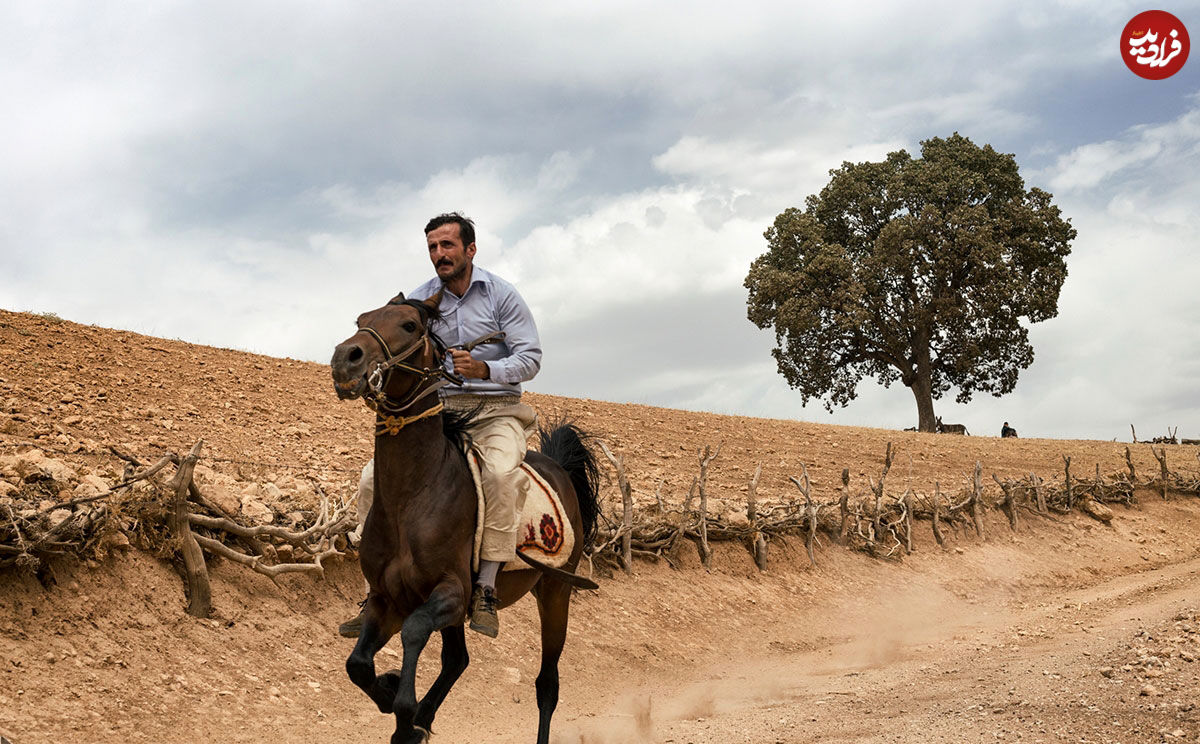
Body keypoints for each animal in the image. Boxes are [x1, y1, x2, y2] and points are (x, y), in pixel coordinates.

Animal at [328, 291, 600, 744]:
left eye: (409, 325)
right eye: (362, 319)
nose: (345, 359)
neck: (413, 498)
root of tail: (559, 467)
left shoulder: (451, 592)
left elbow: (414, 631)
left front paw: (405, 711)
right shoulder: (386, 598)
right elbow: (358, 665)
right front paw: (395, 699)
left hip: (555, 594)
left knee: (547, 684)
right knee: (458, 660)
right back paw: (424, 716)